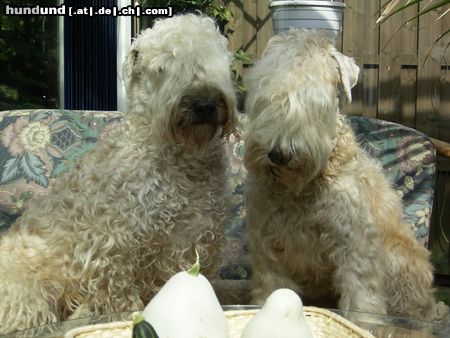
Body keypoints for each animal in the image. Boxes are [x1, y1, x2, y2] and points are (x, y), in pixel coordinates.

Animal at [0, 14, 237, 334]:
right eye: (163, 67)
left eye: (216, 61)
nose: (204, 105)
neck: (182, 163)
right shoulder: (112, 245)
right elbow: (120, 297)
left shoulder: (195, 242)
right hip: (29, 286)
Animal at [244, 30, 448, 324]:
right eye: (265, 97)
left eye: (315, 102)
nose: (278, 154)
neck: (300, 189)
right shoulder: (268, 246)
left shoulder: (355, 243)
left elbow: (361, 296)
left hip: (397, 256)